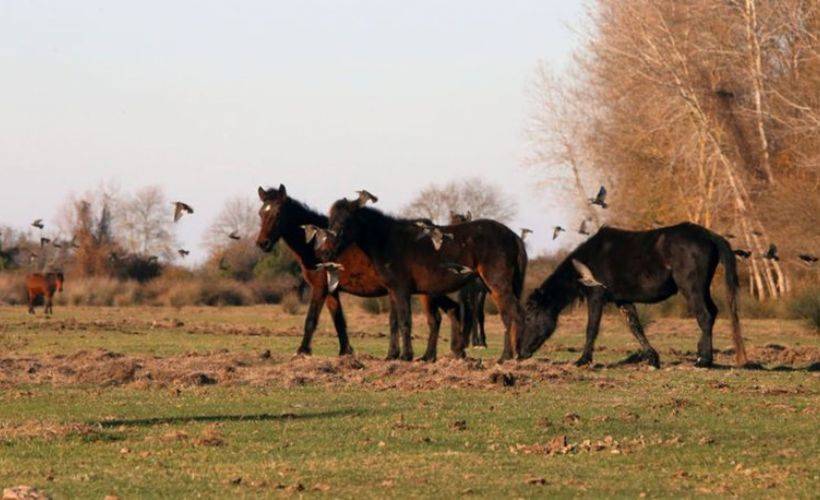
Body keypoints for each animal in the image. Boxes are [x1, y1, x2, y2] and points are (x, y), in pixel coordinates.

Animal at [256, 185, 462, 360]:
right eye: (261, 213)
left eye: (277, 213)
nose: (262, 243)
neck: (315, 244)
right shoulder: (331, 291)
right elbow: (339, 321)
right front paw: (345, 352)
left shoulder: (319, 288)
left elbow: (311, 320)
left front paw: (302, 351)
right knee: (451, 310)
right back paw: (454, 353)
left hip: (427, 292)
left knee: (435, 319)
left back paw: (431, 356)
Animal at [448, 211, 486, 348]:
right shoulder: (461, 291)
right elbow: (463, 311)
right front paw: (462, 338)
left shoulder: (475, 290)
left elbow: (474, 312)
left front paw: (475, 340)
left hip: (481, 292)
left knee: (478, 312)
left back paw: (480, 341)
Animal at [520, 223, 748, 368]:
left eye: (530, 317)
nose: (520, 353)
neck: (586, 264)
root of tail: (709, 236)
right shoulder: (623, 300)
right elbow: (635, 327)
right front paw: (653, 359)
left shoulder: (596, 297)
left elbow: (591, 329)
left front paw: (583, 360)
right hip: (702, 288)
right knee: (712, 313)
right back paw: (702, 354)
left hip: (692, 288)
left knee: (704, 316)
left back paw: (704, 361)